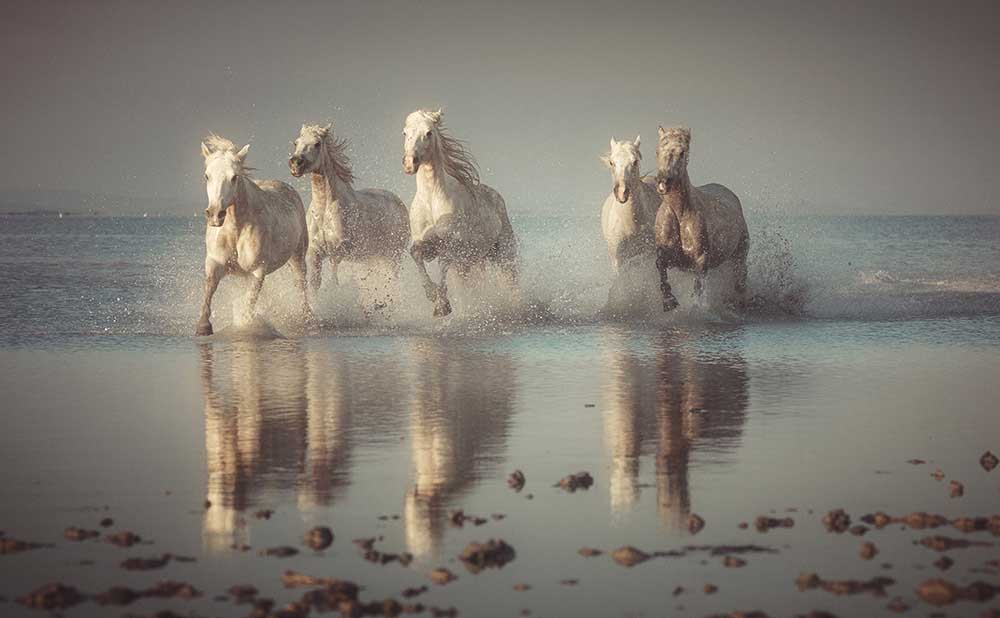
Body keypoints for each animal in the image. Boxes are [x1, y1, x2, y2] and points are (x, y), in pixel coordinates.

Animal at [197, 134, 311, 336]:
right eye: (207, 175)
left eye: (234, 177)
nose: (215, 214)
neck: (236, 230)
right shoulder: (214, 262)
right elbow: (210, 288)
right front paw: (203, 326)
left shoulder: (257, 271)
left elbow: (249, 302)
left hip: (298, 256)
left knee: (301, 285)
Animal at [289, 123, 410, 310]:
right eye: (296, 142)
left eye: (317, 143)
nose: (296, 164)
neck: (324, 211)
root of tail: (399, 202)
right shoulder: (315, 253)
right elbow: (315, 283)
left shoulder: (338, 252)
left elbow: (334, 281)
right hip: (374, 257)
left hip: (392, 257)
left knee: (393, 281)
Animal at [402, 109, 518, 317]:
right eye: (405, 133)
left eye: (429, 133)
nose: (409, 163)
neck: (432, 201)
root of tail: (497, 196)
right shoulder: (426, 244)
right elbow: (415, 253)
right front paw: (432, 294)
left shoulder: (451, 245)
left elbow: (443, 264)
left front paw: (442, 306)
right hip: (472, 262)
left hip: (503, 254)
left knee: (511, 282)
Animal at [601, 136, 660, 300]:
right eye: (611, 162)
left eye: (635, 161)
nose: (622, 192)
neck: (631, 225)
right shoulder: (618, 261)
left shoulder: (650, 256)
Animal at [653, 126, 749, 311]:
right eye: (657, 151)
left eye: (682, 152)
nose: (663, 182)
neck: (680, 215)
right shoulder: (668, 256)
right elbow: (660, 266)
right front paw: (669, 301)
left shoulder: (700, 260)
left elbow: (698, 288)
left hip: (740, 255)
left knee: (740, 280)